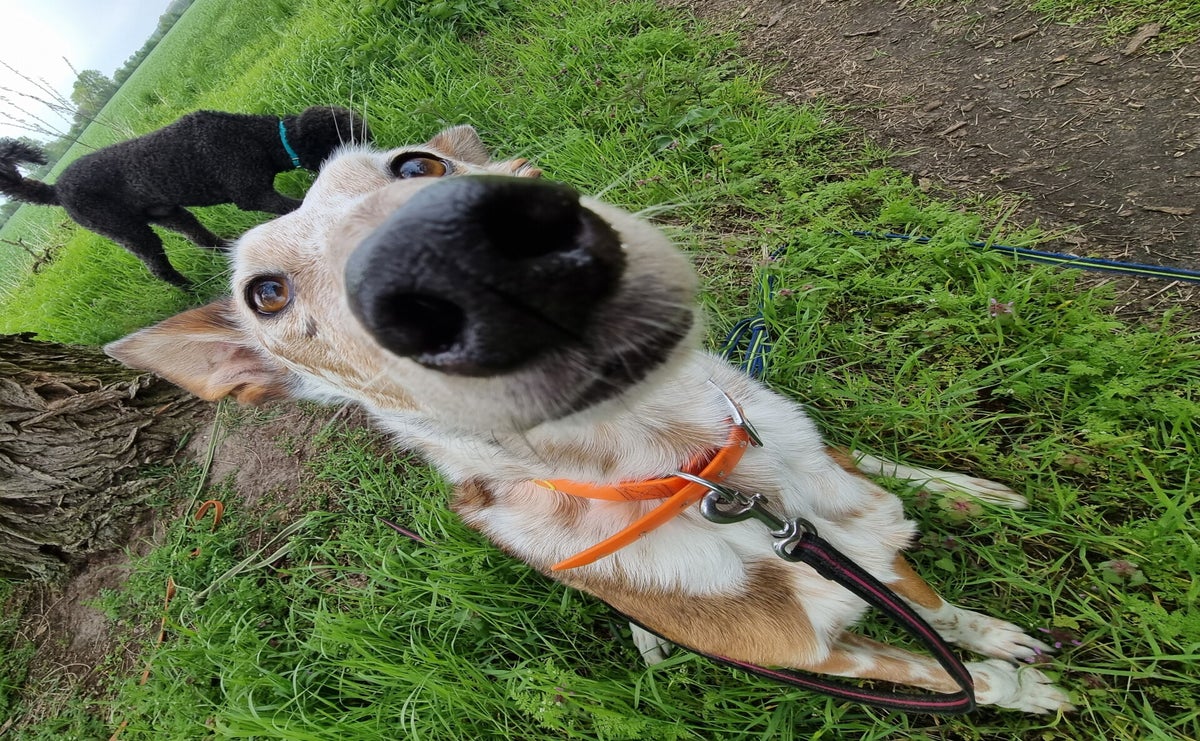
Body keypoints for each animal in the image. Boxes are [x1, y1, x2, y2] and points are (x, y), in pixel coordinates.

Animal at [0, 106, 371, 288]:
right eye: (352, 135)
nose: (375, 145)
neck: (259, 139)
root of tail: (56, 190)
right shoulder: (251, 193)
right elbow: (293, 206)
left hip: (169, 213)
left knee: (200, 237)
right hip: (127, 230)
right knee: (157, 267)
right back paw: (186, 288)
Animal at [106, 125, 1072, 713]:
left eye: (417, 165)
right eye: (264, 293)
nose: (456, 249)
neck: (694, 474)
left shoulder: (863, 544)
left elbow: (943, 616)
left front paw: (1000, 643)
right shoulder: (813, 654)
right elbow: (947, 671)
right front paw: (1016, 686)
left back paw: (965, 489)